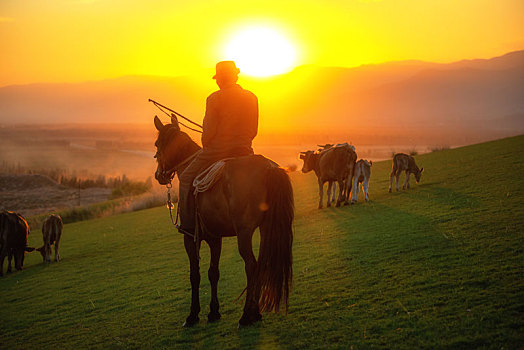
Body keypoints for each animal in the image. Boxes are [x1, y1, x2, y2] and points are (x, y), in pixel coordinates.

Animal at [154, 116, 294, 326]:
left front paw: (193, 315)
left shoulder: (190, 238)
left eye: (157, 144)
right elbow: (214, 273)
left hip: (244, 232)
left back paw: (247, 315)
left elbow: (195, 275)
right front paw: (213, 312)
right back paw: (256, 312)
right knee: (260, 264)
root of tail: (268, 168)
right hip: (266, 228)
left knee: (251, 265)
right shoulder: (215, 238)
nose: (158, 175)